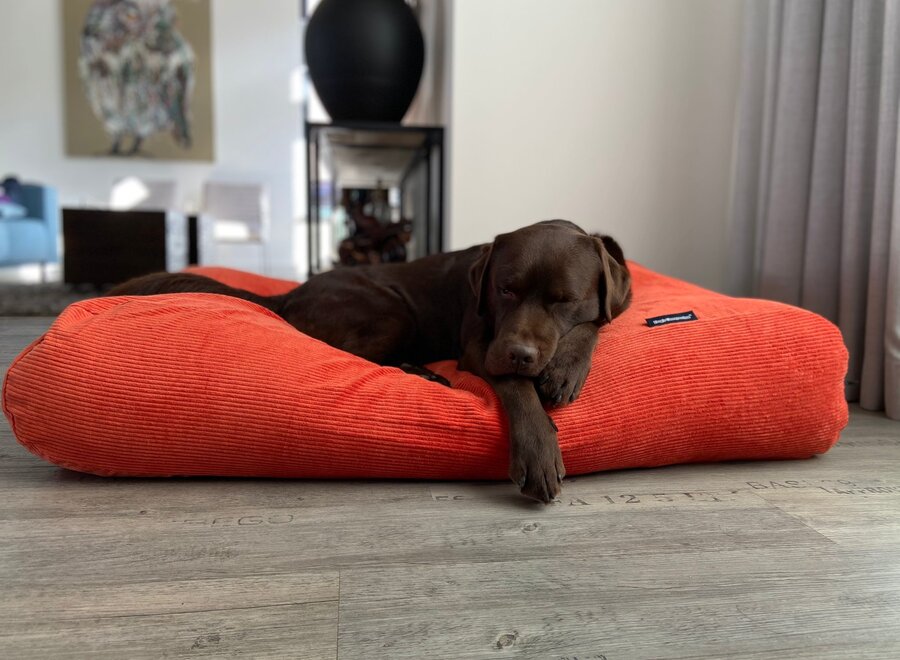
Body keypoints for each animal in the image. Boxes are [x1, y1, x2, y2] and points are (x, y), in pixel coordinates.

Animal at [109, 219, 628, 502]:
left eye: (564, 300)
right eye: (505, 290)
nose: (520, 354)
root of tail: (288, 293)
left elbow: (596, 323)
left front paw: (565, 368)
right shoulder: (481, 345)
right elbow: (515, 387)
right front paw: (539, 451)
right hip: (390, 310)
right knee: (347, 351)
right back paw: (424, 373)